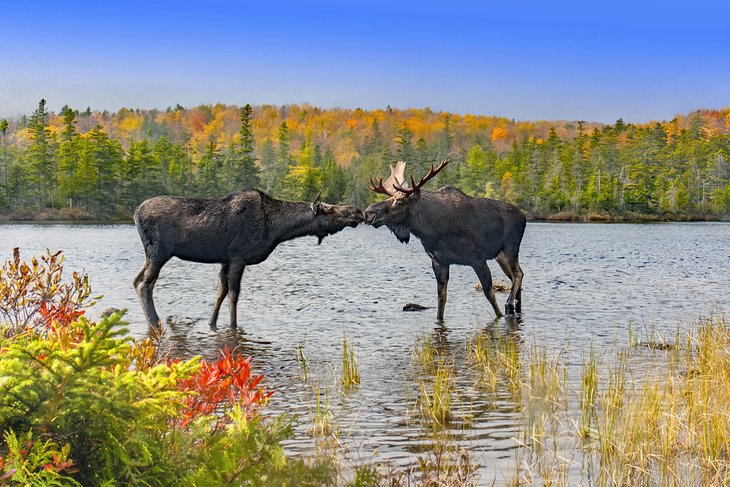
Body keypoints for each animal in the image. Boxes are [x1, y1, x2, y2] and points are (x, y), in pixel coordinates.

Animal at [362, 159, 524, 320]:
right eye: (390, 198)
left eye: (400, 201)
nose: (368, 213)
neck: (432, 230)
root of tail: (523, 216)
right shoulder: (439, 262)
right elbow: (441, 298)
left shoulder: (478, 260)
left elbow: (490, 294)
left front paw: (500, 314)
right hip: (499, 255)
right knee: (515, 276)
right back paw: (516, 307)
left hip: (511, 248)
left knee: (518, 274)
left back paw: (509, 304)